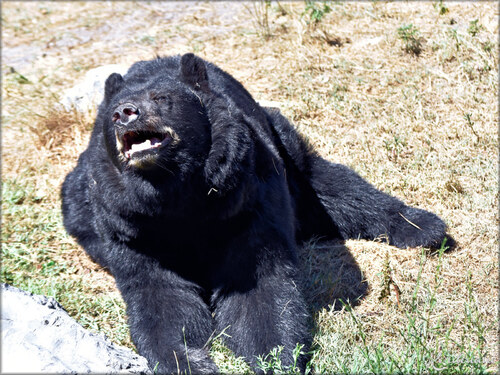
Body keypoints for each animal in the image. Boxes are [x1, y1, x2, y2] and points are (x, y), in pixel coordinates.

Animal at [60, 53, 452, 375]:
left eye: (161, 99)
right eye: (113, 111)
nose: (124, 113)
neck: (175, 194)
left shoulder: (246, 197)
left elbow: (259, 284)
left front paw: (276, 359)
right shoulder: (130, 226)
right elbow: (159, 294)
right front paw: (187, 360)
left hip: (285, 149)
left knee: (334, 189)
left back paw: (425, 228)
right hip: (78, 202)